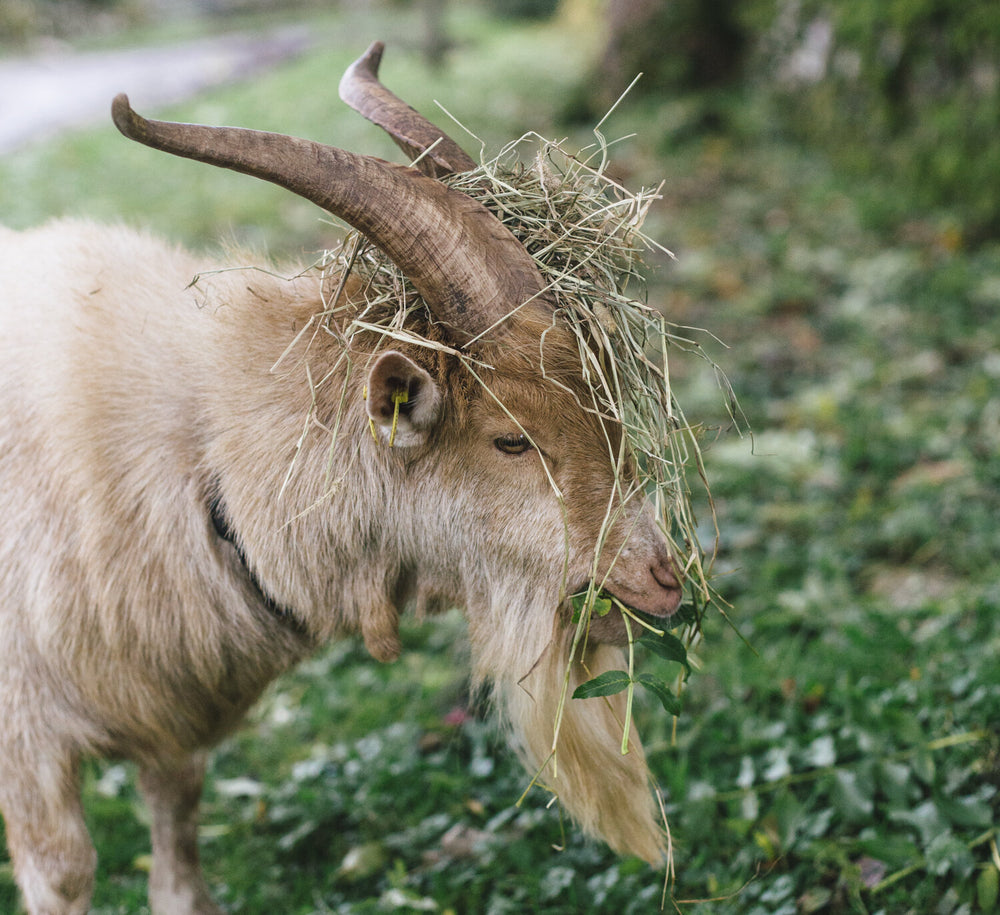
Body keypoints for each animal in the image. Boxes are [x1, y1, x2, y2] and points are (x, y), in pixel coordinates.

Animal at [0, 39, 680, 912]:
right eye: (512, 439)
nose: (660, 580)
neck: (201, 453)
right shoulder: (27, 739)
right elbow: (64, 869)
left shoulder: (171, 727)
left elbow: (178, 855)